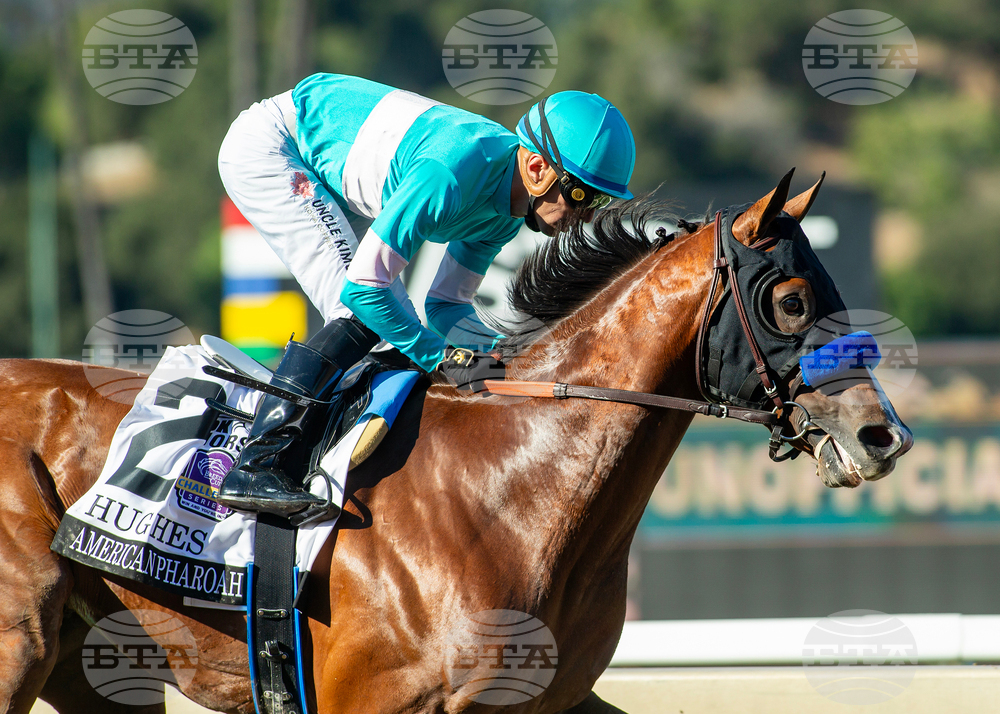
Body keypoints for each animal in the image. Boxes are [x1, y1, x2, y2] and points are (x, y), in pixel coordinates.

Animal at [0, 172, 911, 714]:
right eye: (791, 300)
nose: (884, 434)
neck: (514, 488)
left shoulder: (545, 697)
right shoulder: (366, 700)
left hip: (97, 662)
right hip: (22, 641)